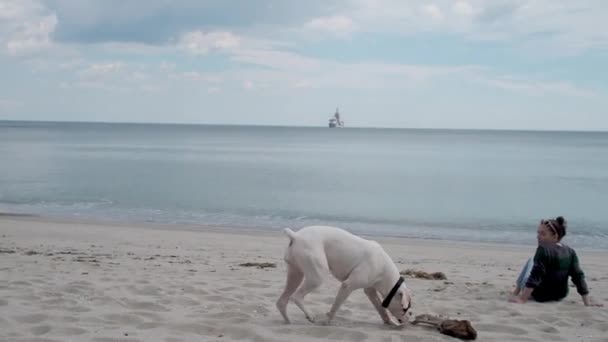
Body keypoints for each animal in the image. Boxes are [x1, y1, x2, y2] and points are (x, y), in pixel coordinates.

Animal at [276, 226, 414, 324]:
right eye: (405, 309)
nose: (410, 318)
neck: (383, 268)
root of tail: (296, 235)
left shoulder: (370, 291)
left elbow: (381, 309)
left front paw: (389, 322)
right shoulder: (347, 286)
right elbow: (335, 306)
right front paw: (327, 321)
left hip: (295, 274)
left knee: (282, 300)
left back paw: (288, 320)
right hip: (316, 277)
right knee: (296, 297)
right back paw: (310, 316)